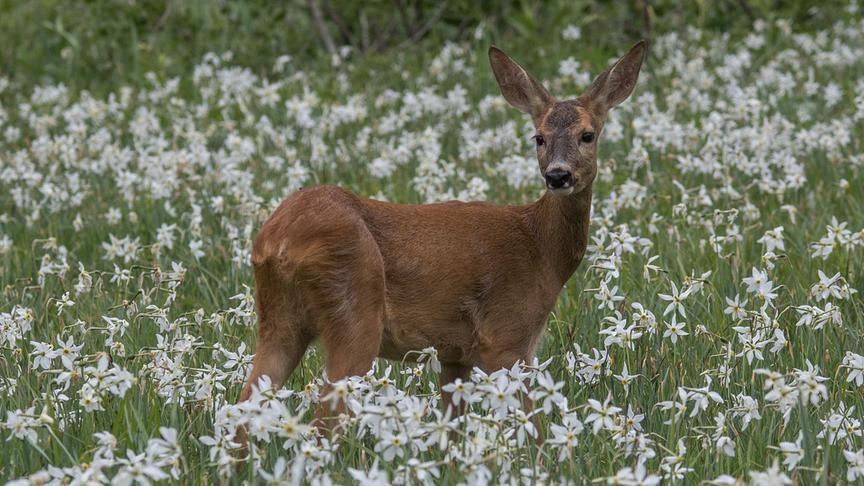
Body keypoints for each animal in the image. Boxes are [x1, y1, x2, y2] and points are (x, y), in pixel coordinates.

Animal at [235, 41, 647, 443]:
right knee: (323, 421)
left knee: (243, 407)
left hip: (279, 318)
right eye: (539, 137)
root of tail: (277, 240)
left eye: (587, 135)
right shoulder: (507, 335)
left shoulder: (454, 355)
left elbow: (453, 431)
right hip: (354, 308)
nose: (558, 176)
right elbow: (531, 432)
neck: (542, 252)